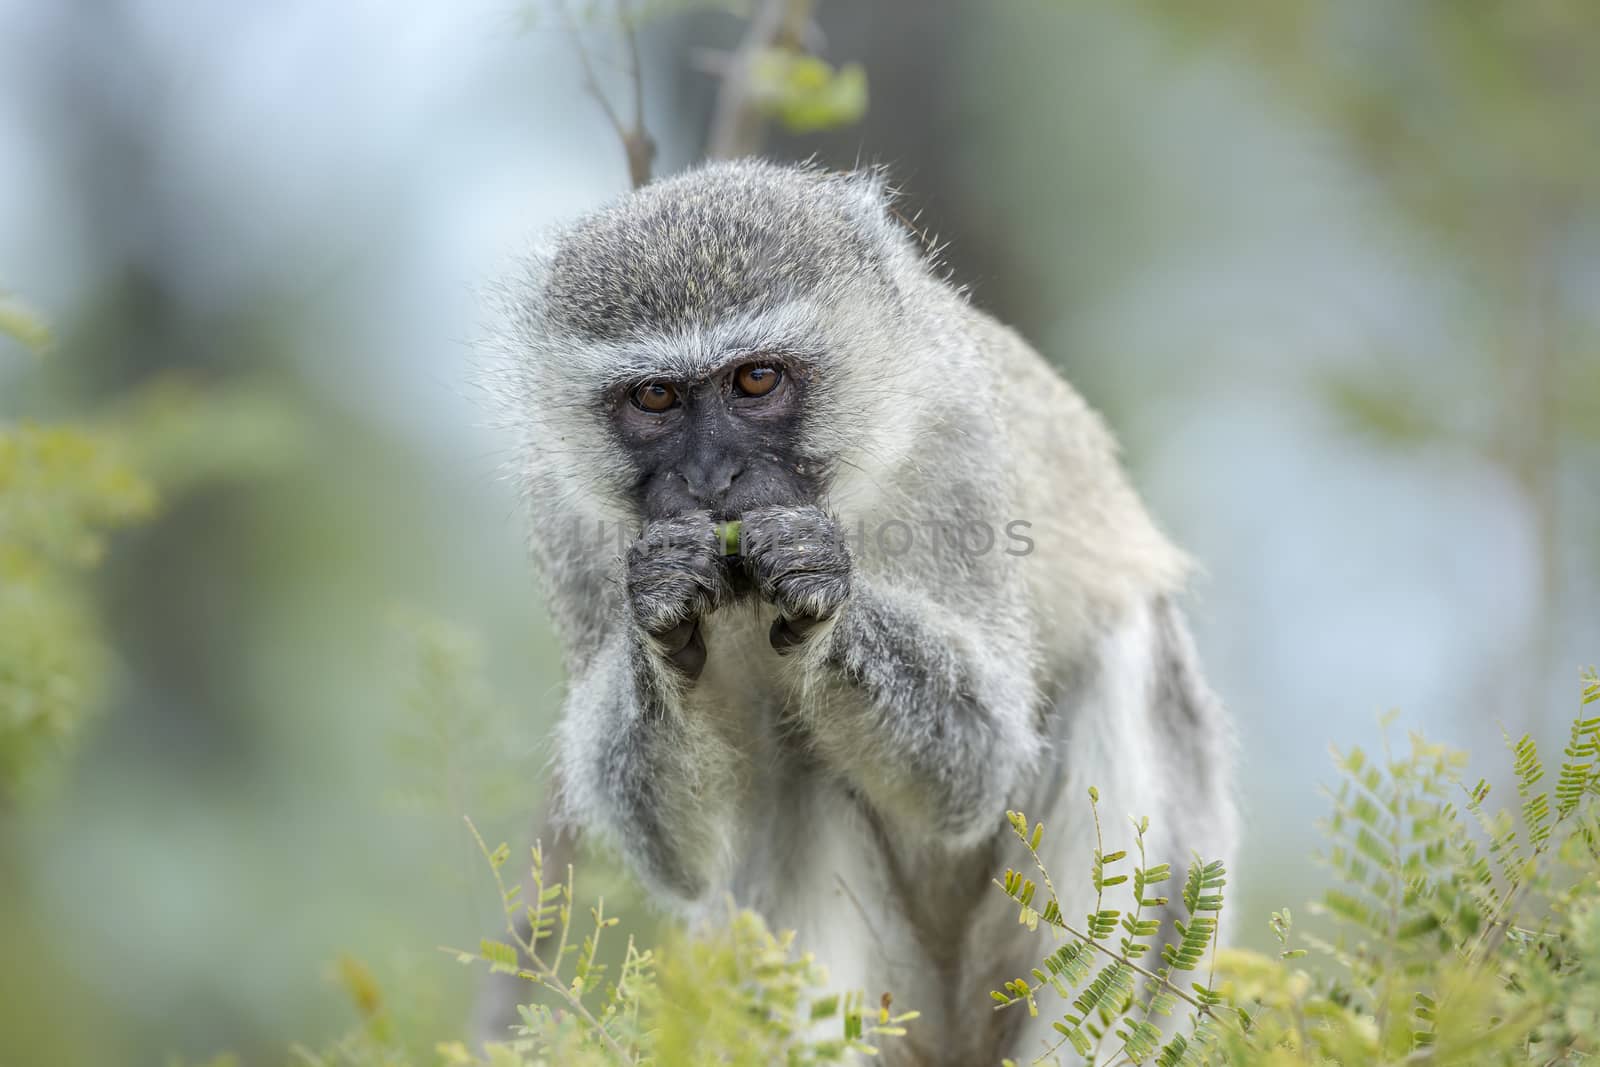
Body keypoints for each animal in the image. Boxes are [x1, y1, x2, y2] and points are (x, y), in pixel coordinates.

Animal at [483, 160, 1235, 1067]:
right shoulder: (562, 517)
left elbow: (977, 765)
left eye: (757, 379)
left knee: (1129, 656)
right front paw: (666, 605)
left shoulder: (959, 443)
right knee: (794, 774)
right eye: (655, 396)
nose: (710, 478)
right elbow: (675, 854)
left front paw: (814, 580)